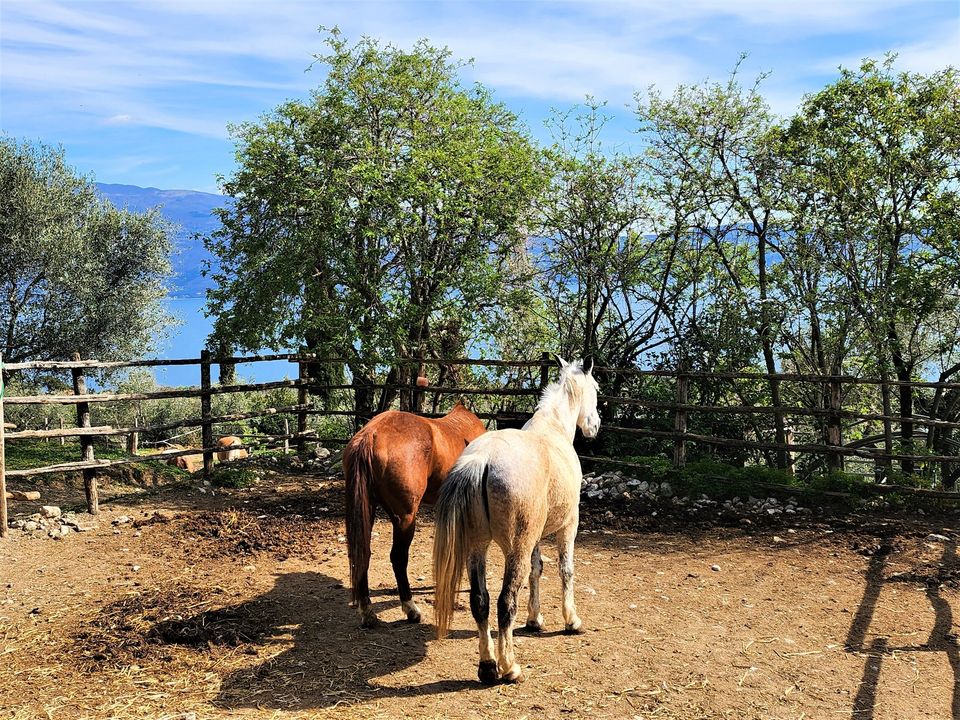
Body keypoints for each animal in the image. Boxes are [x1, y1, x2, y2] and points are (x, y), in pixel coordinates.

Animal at [344, 402, 484, 628]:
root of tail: (370, 435)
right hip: (406, 518)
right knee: (398, 558)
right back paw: (410, 608)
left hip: (368, 511)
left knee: (362, 553)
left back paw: (367, 611)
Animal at [432, 358, 596, 684]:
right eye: (596, 388)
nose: (594, 426)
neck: (553, 429)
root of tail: (482, 459)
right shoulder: (568, 526)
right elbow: (566, 571)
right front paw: (571, 621)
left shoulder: (536, 537)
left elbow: (537, 570)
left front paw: (535, 619)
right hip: (514, 550)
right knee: (504, 602)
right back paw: (509, 667)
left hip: (477, 548)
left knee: (480, 601)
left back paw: (487, 666)